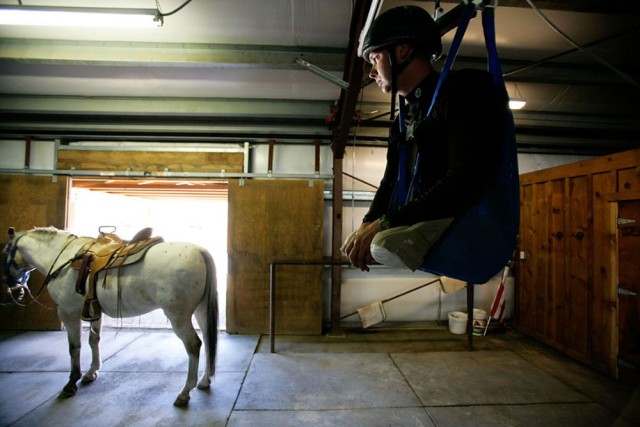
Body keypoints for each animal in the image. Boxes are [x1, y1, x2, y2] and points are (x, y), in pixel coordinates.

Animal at [1, 226, 218, 406]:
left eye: (4, 252)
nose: (13, 286)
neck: (63, 258)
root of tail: (200, 251)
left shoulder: (68, 312)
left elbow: (74, 347)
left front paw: (71, 383)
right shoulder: (94, 311)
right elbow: (94, 339)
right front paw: (91, 372)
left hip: (178, 315)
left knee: (194, 345)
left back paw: (184, 392)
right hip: (200, 311)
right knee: (208, 340)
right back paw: (204, 381)